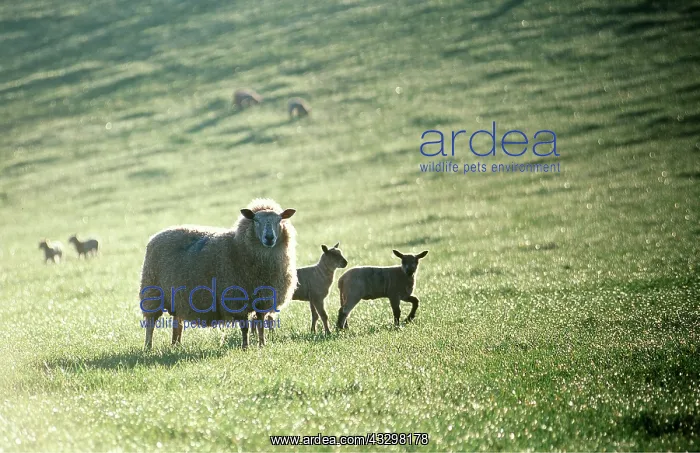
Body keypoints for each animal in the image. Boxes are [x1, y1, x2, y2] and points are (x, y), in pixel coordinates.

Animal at [140, 198, 297, 350]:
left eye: (279, 220)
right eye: (256, 220)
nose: (269, 237)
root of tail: (155, 236)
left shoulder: (263, 300)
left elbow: (260, 325)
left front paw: (262, 345)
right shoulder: (236, 300)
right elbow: (245, 328)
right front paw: (245, 347)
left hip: (177, 298)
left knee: (177, 323)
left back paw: (175, 345)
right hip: (152, 292)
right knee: (150, 323)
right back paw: (148, 347)